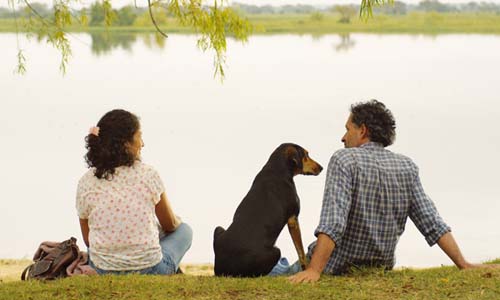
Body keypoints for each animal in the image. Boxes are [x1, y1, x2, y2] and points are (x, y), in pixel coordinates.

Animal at [212, 143, 322, 276]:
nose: (321, 168)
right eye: (306, 155)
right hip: (276, 252)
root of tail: (222, 269)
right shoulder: (293, 219)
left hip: (218, 228)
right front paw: (305, 268)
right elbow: (300, 251)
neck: (278, 168)